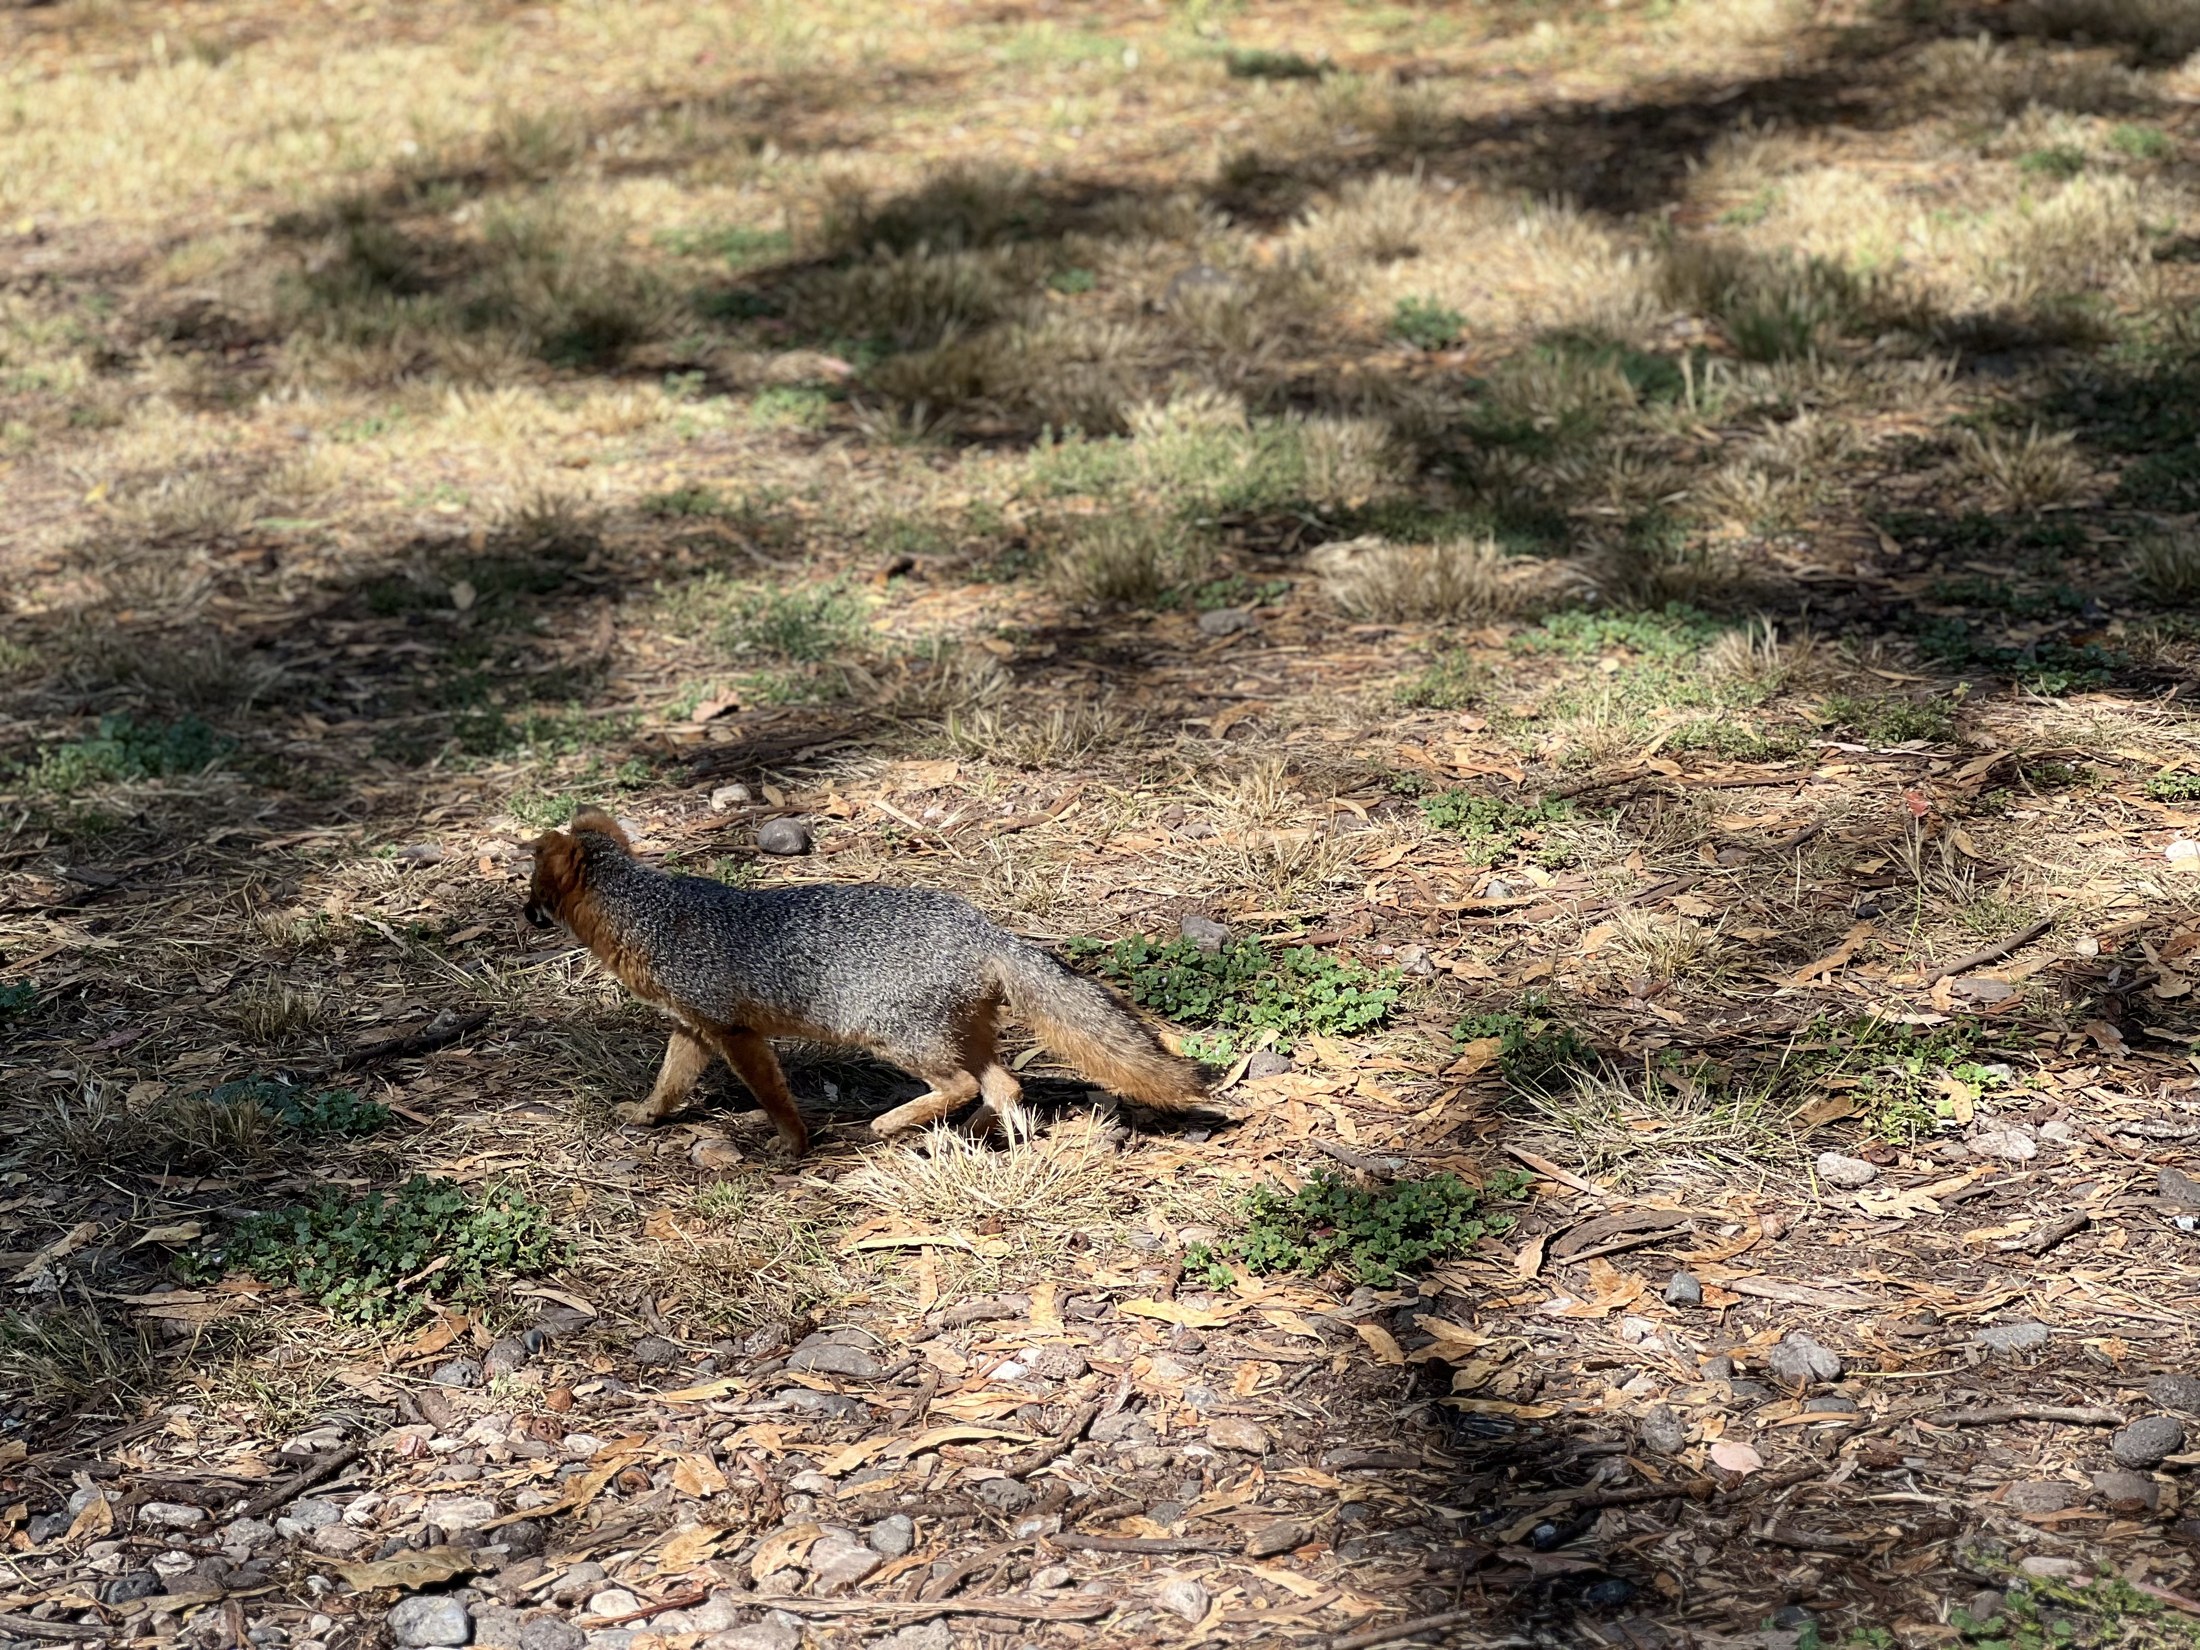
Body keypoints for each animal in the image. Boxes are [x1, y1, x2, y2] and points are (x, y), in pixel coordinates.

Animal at [522, 807, 1208, 1154]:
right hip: (959, 1035)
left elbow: (773, 1095)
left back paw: (891, 1124)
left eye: (534, 893)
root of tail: (987, 930)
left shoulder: (736, 1032)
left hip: (893, 1037)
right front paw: (645, 1116)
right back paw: (978, 1137)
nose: (522, 916)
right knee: (1004, 1084)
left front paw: (793, 1146)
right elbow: (668, 1085)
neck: (651, 915)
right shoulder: (694, 1028)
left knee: (964, 1085)